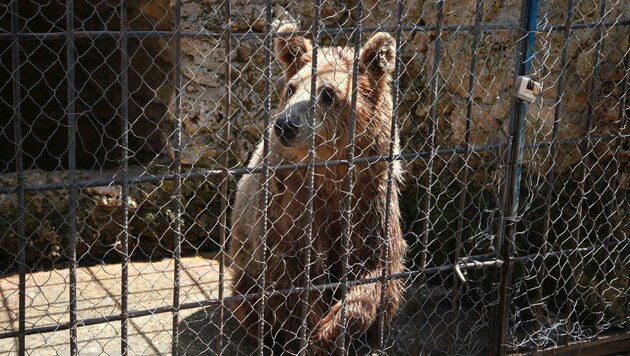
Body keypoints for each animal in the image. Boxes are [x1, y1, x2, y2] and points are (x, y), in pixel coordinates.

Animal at [230, 23, 408, 354]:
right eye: (291, 87)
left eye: (328, 92)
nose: (285, 125)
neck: (331, 173)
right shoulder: (292, 202)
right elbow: (292, 271)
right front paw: (310, 336)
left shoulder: (370, 194)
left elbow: (374, 266)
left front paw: (333, 329)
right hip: (245, 262)